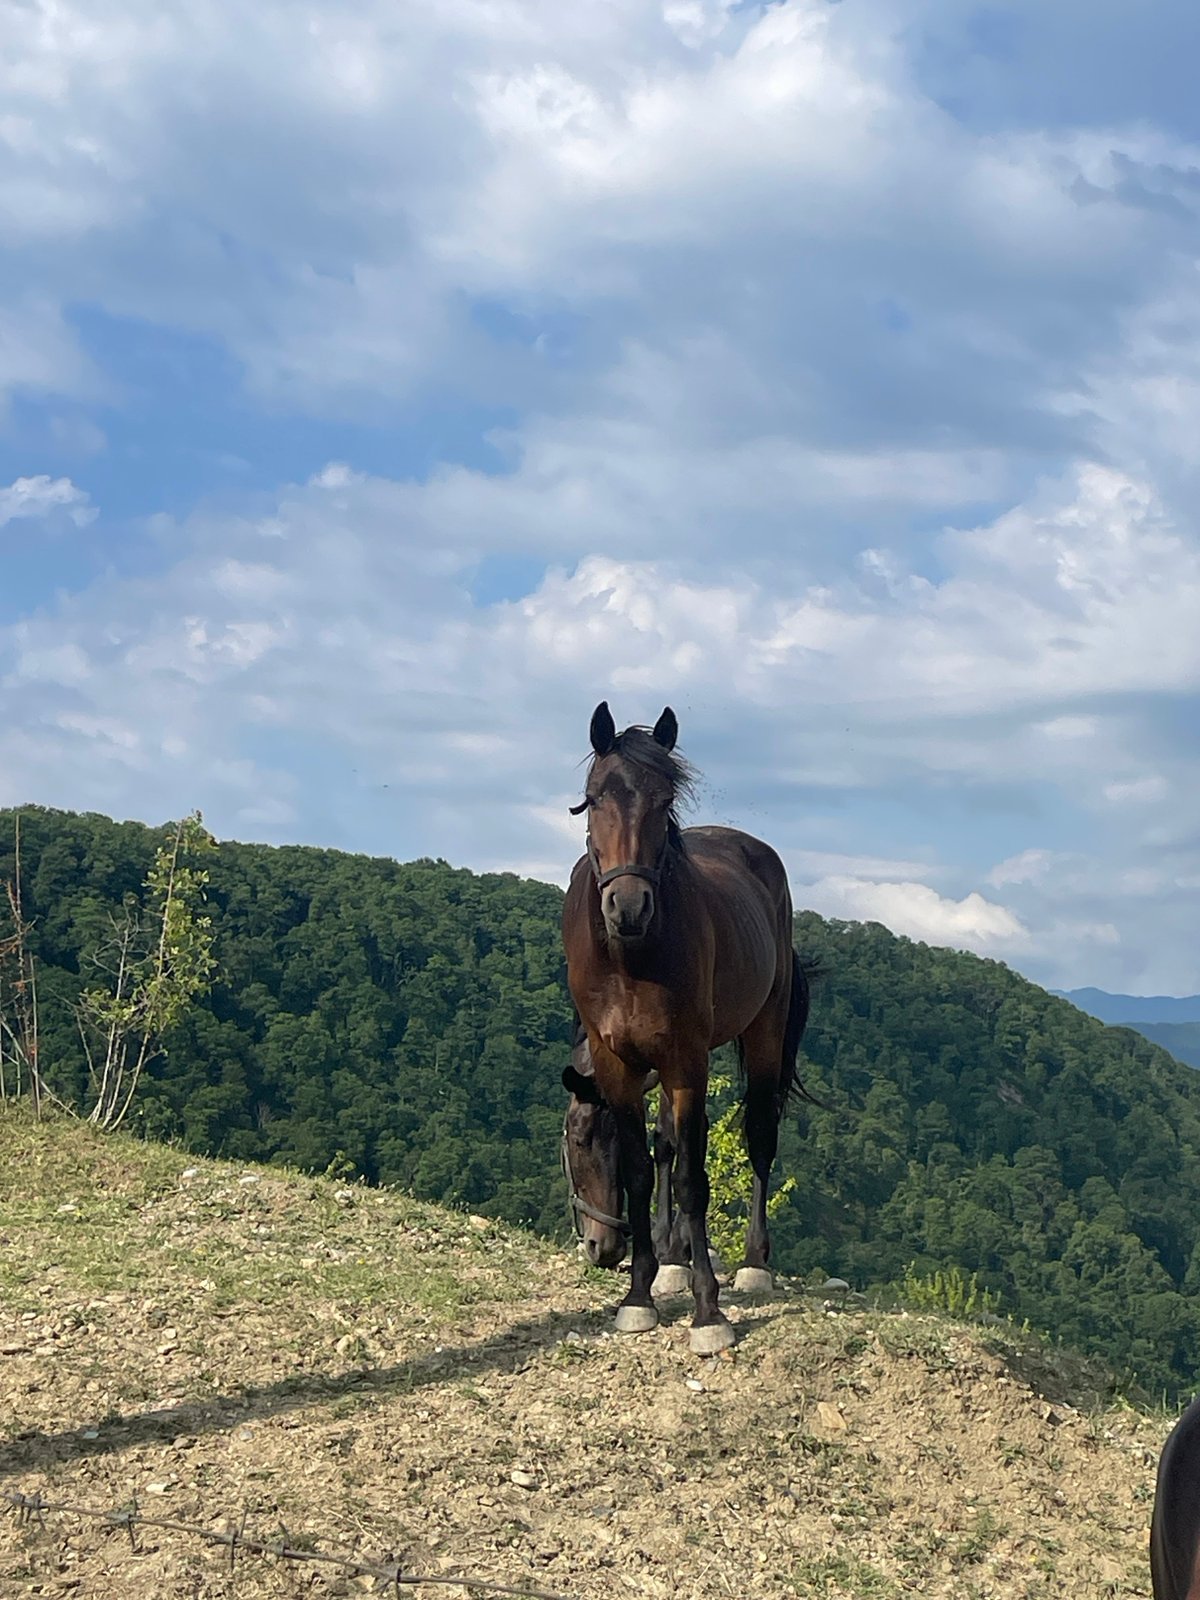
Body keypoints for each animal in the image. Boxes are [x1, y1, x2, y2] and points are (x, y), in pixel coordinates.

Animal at [560, 700, 817, 1355]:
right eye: (594, 799)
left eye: (665, 801)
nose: (629, 907)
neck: (629, 957)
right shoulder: (625, 1065)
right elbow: (645, 1164)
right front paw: (641, 1291)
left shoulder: (685, 1061)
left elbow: (690, 1179)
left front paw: (707, 1310)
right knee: (669, 1144)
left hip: (762, 1036)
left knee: (759, 1136)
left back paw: (752, 1263)